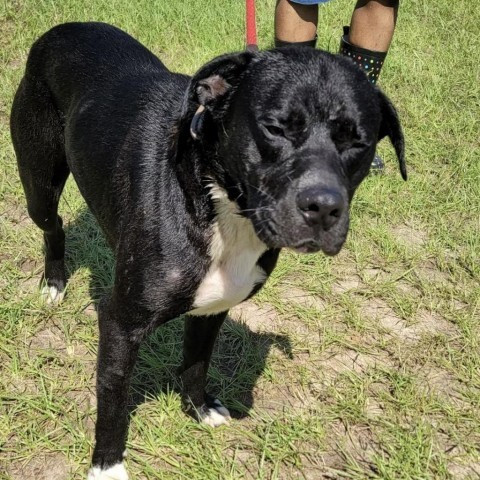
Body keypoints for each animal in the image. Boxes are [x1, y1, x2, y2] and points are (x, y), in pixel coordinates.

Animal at [10, 21, 404, 476]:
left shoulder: (214, 307)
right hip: (39, 184)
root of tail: (60, 29)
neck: (216, 200)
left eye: (359, 142)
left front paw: (198, 409)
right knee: (52, 226)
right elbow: (112, 400)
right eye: (275, 128)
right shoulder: (121, 325)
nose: (323, 207)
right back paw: (54, 282)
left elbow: (197, 362)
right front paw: (107, 467)